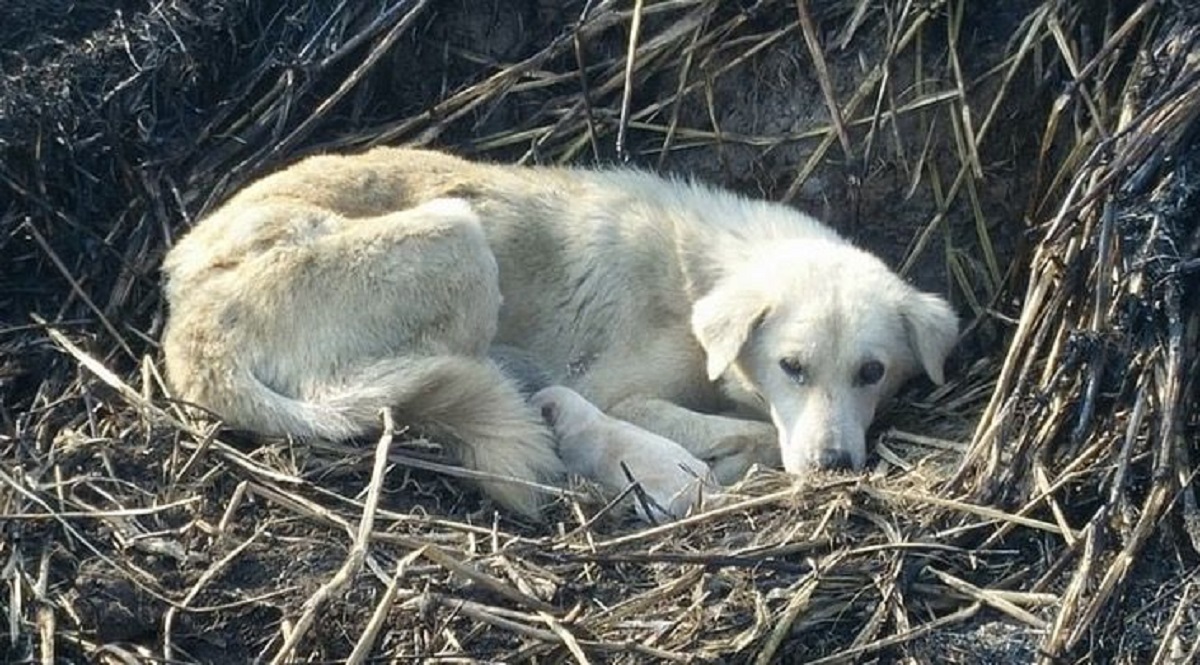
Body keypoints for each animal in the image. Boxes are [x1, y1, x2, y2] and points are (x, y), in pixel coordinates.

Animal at [164, 147, 960, 516]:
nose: (834, 468)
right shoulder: (618, 392)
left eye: (871, 372)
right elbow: (744, 430)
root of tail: (187, 328)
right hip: (459, 236)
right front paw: (740, 455)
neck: (699, 272)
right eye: (792, 366)